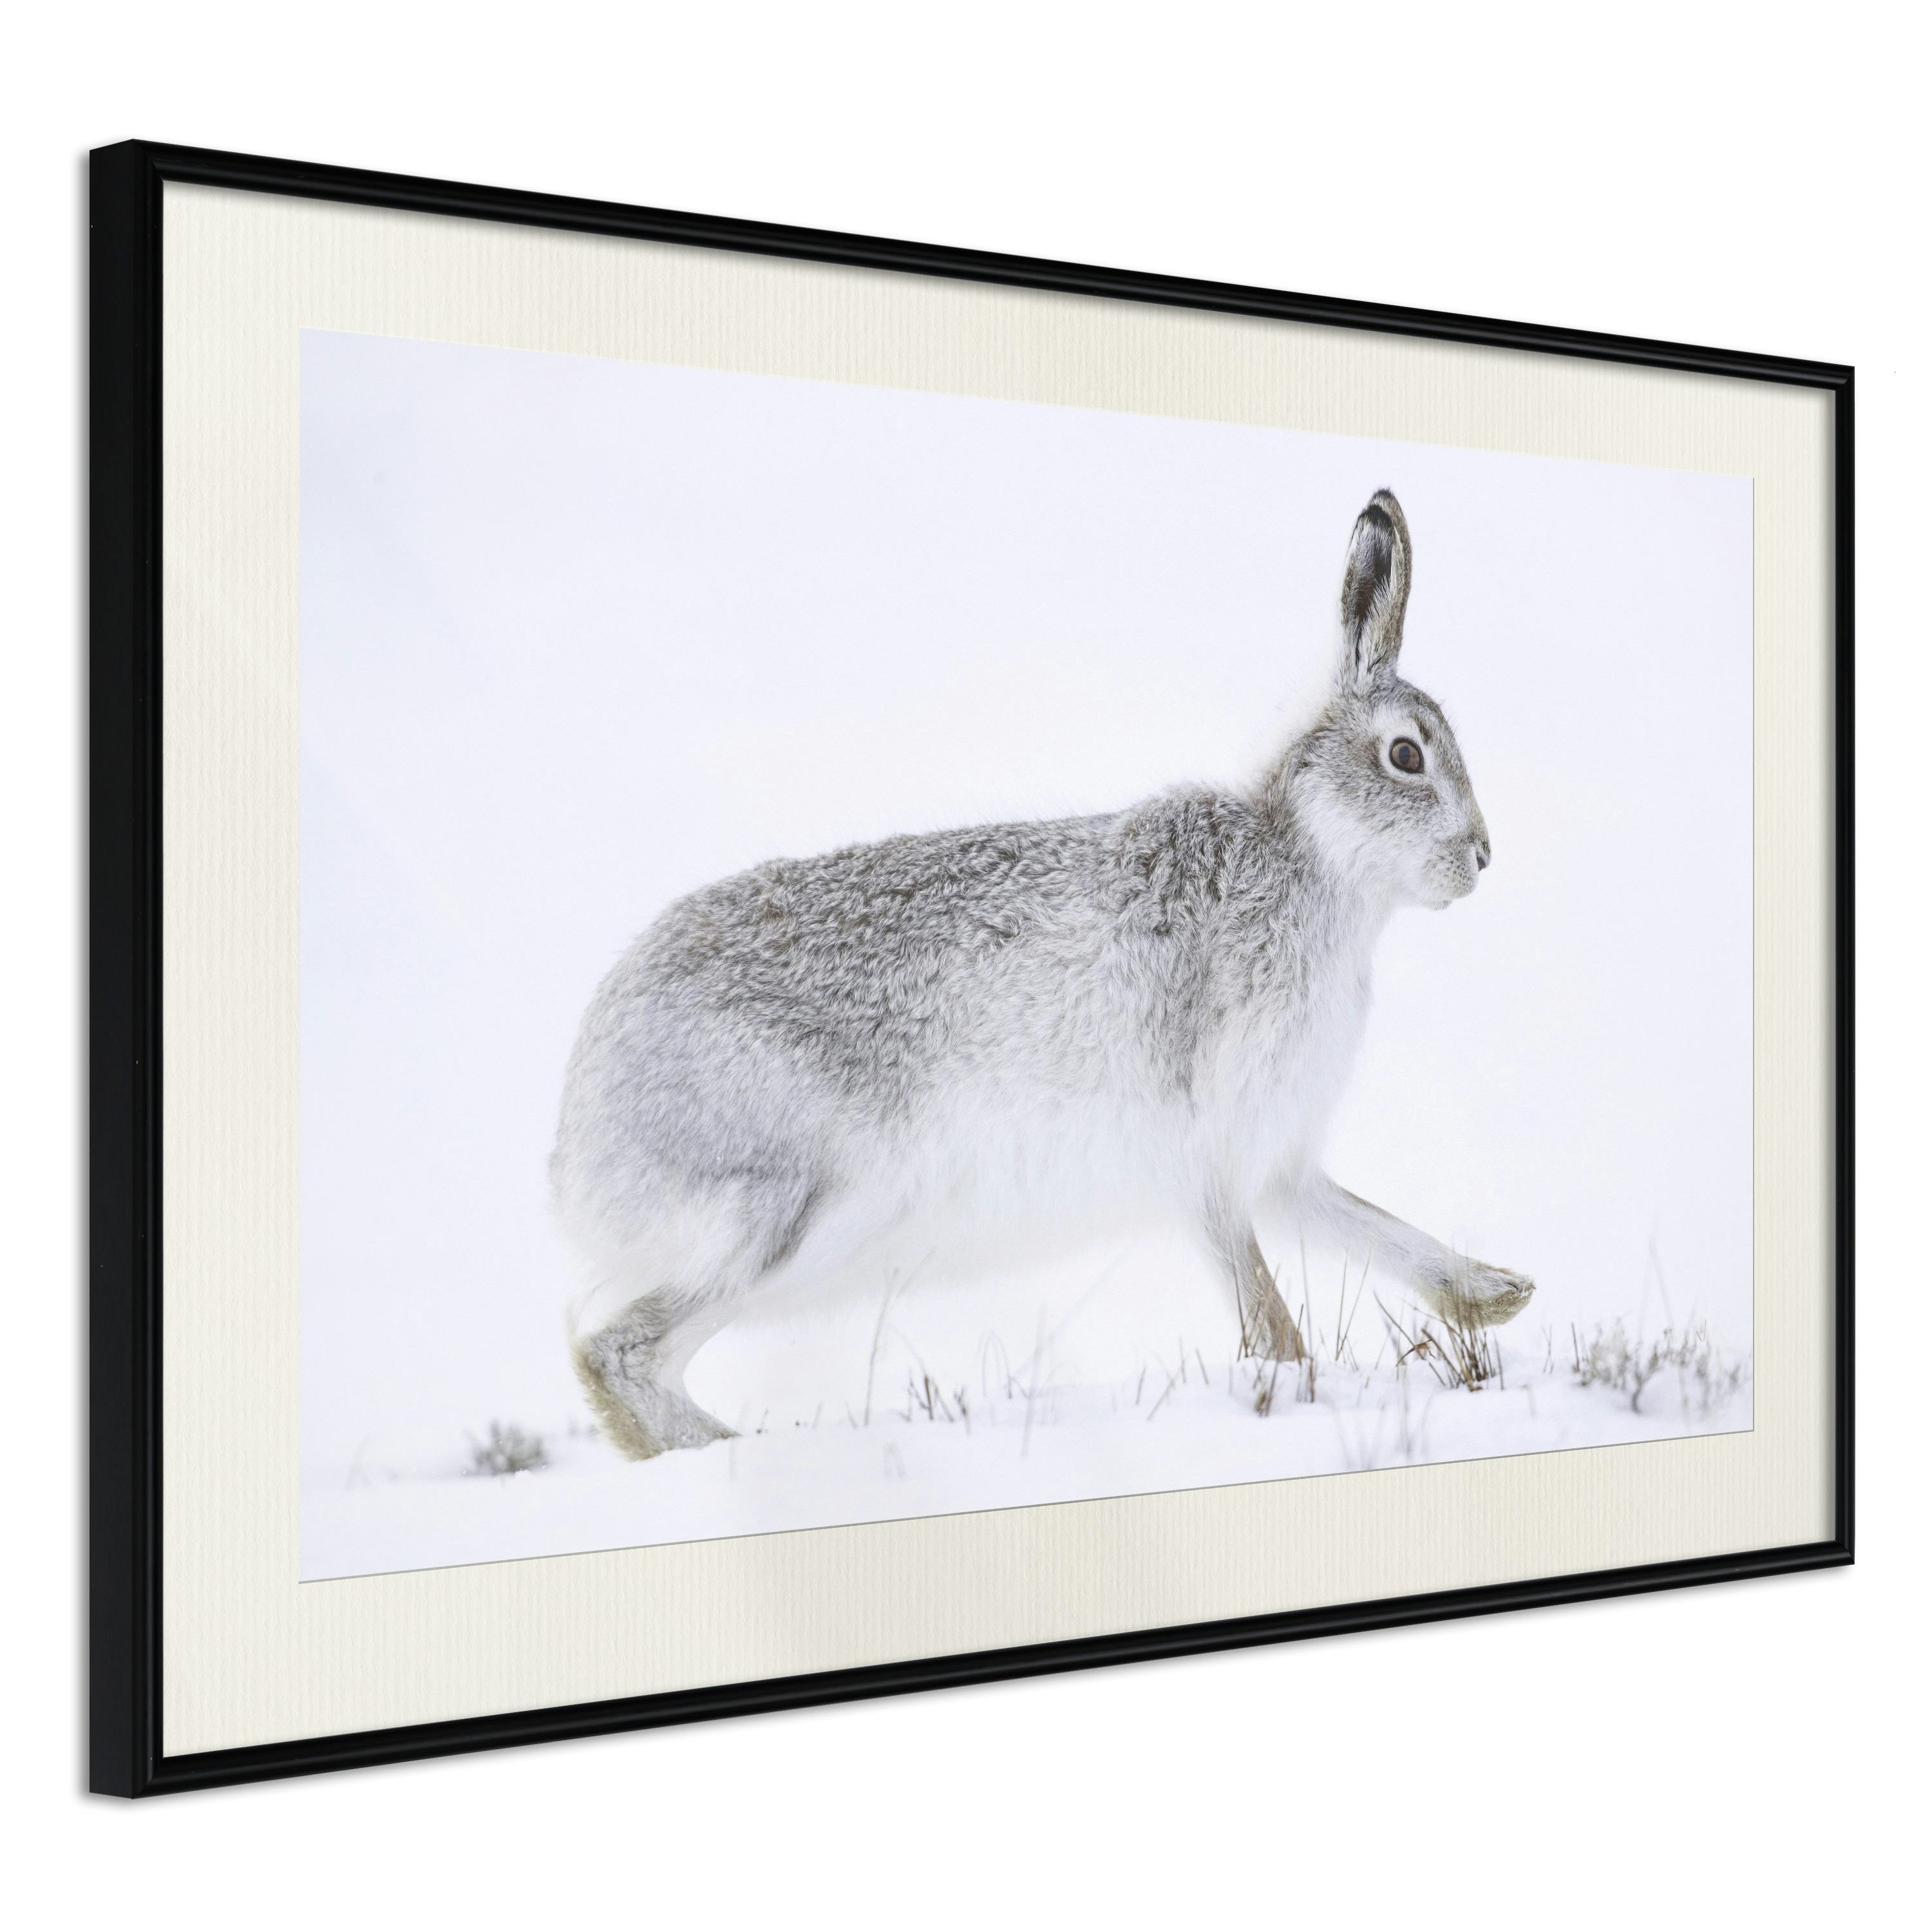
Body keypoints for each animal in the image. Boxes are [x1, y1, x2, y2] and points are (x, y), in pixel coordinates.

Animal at [551, 489, 1533, 1460]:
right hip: (795, 1210)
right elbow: (1265, 1308)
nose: (1483, 857)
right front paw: (1297, 1390)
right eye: (1406, 755)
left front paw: (1499, 1294)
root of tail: (579, 1135)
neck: (1312, 862)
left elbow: (1370, 1226)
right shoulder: (1207, 1150)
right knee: (617, 1354)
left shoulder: (1277, 1161)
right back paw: (738, 1449)